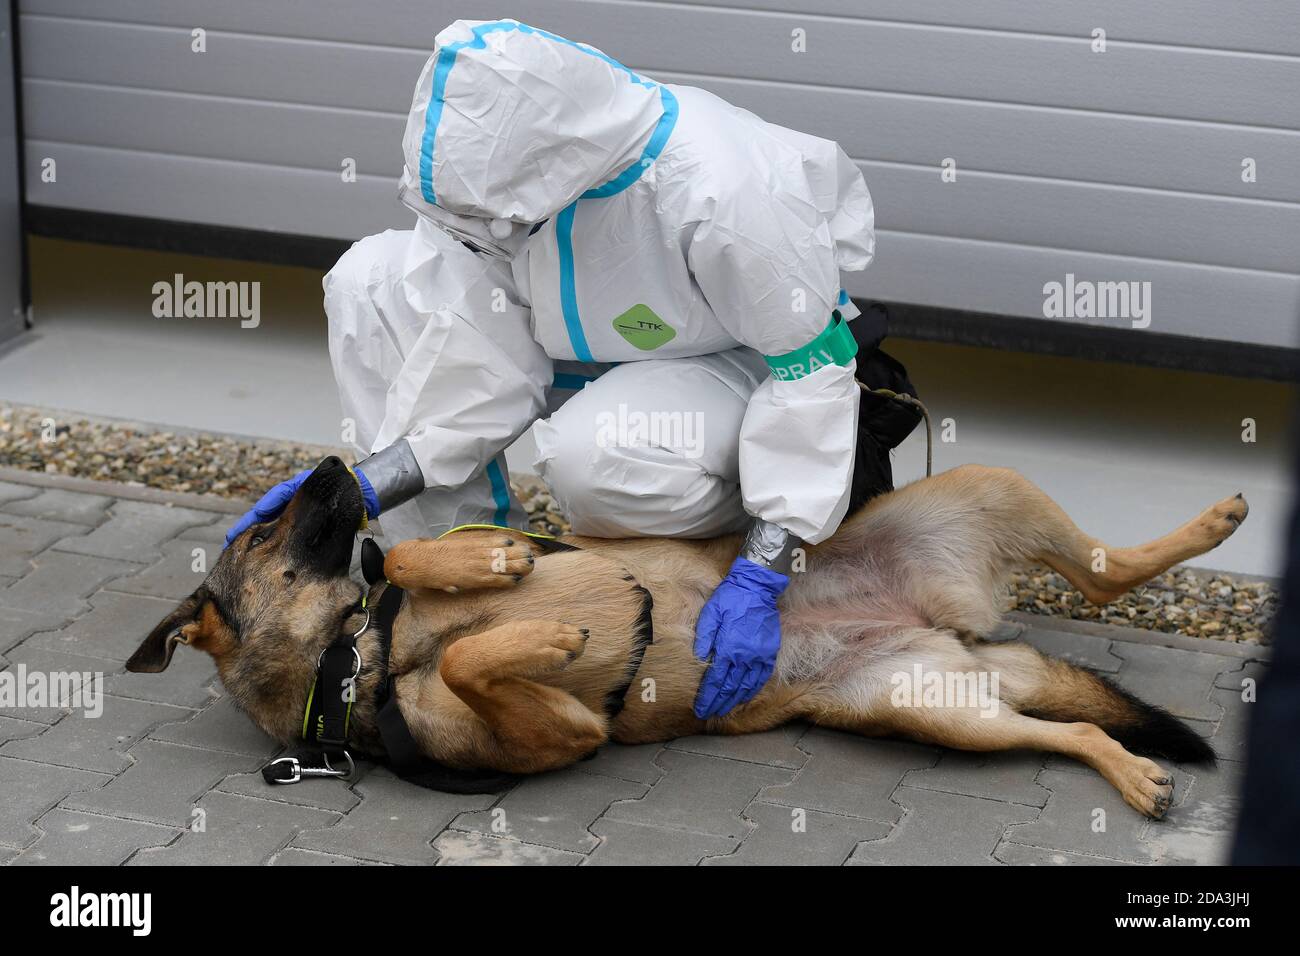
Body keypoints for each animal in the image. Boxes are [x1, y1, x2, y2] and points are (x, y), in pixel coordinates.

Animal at [126, 455, 1242, 816]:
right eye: (263, 528)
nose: (332, 464)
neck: (362, 658)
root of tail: (932, 625)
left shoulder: (468, 544)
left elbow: (411, 563)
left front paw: (500, 580)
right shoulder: (563, 732)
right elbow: (472, 654)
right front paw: (540, 634)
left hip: (984, 490)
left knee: (1106, 569)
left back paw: (1217, 521)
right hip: (940, 712)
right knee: (1074, 728)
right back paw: (1135, 775)